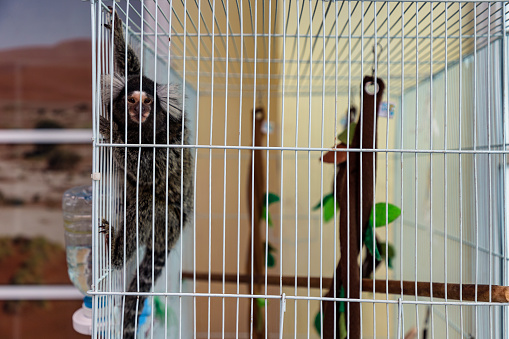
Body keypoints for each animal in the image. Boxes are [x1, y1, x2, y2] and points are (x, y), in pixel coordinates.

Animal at [99, 9, 192, 338]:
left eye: (148, 101)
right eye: (131, 99)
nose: (139, 111)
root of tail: (171, 239)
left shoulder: (167, 142)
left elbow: (150, 170)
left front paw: (114, 134)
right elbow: (131, 66)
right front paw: (117, 32)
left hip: (166, 221)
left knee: (145, 203)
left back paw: (115, 252)